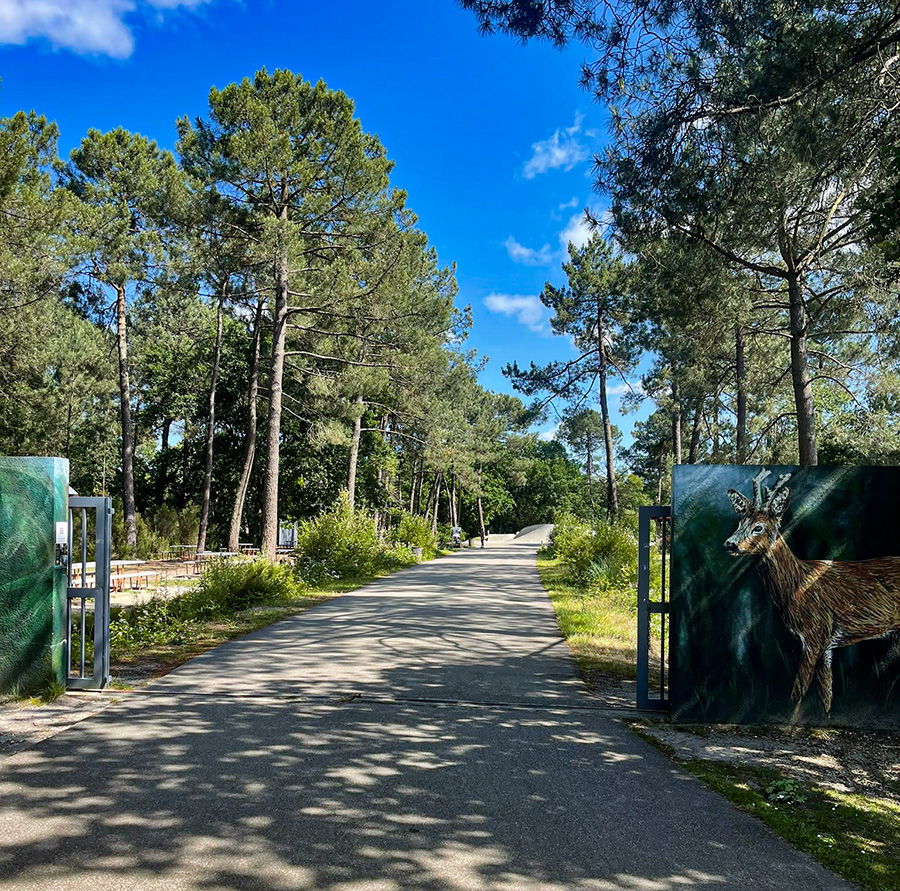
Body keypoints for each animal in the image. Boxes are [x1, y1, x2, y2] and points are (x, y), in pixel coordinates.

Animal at [724, 470, 900, 716]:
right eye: (740, 521)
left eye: (758, 526)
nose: (729, 544)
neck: (796, 586)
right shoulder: (826, 644)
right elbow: (826, 693)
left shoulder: (814, 634)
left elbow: (797, 692)